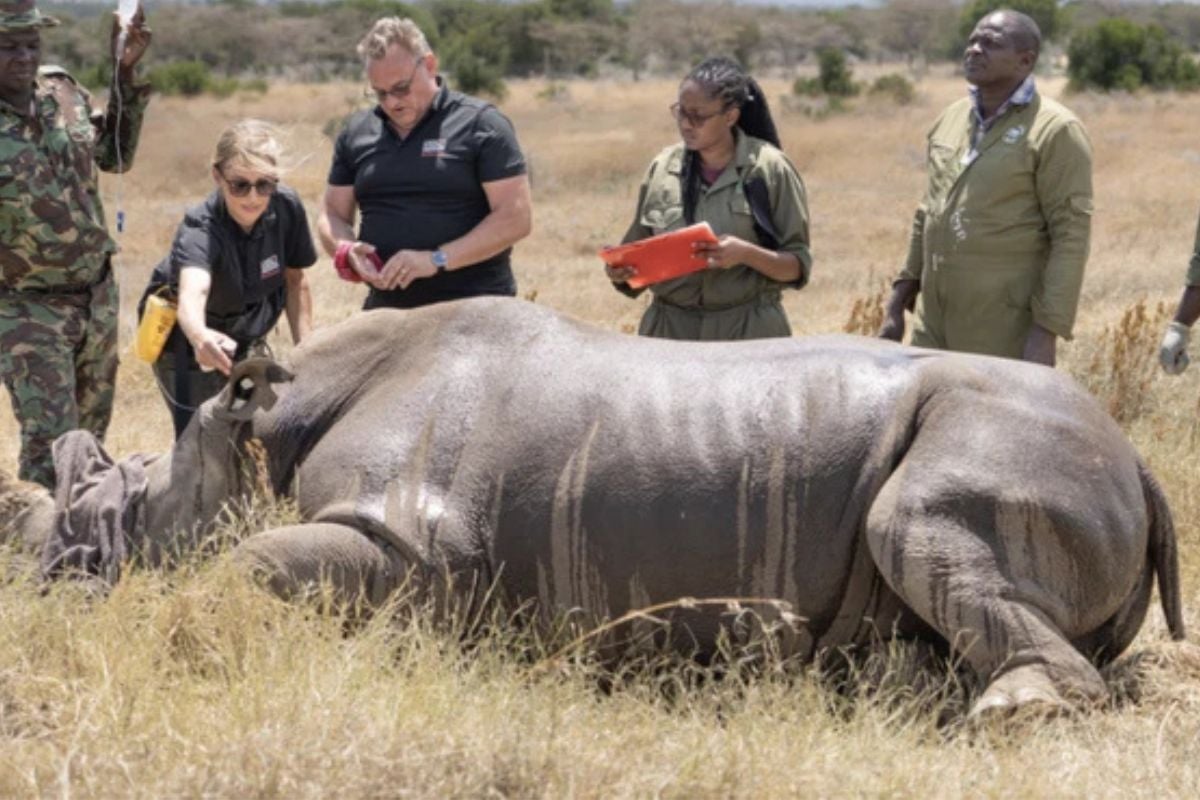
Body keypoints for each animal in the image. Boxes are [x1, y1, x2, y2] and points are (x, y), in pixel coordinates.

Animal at [0, 296, 1180, 719]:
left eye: (111, 508)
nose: (36, 577)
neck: (266, 428)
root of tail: (1137, 461)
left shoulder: (412, 547)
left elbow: (243, 566)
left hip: (1014, 443)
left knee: (919, 526)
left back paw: (1005, 712)